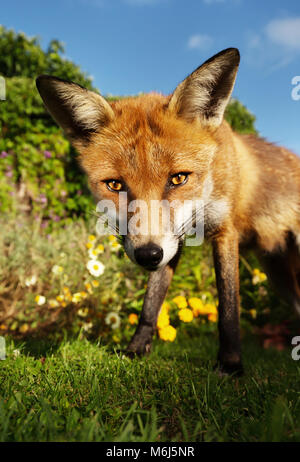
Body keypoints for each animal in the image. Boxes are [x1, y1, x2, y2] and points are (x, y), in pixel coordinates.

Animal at [36, 48, 300, 376]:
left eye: (178, 178)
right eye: (115, 185)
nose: (147, 255)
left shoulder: (224, 231)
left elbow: (228, 305)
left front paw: (230, 363)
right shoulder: (174, 240)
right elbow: (151, 302)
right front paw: (136, 350)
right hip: (279, 275)